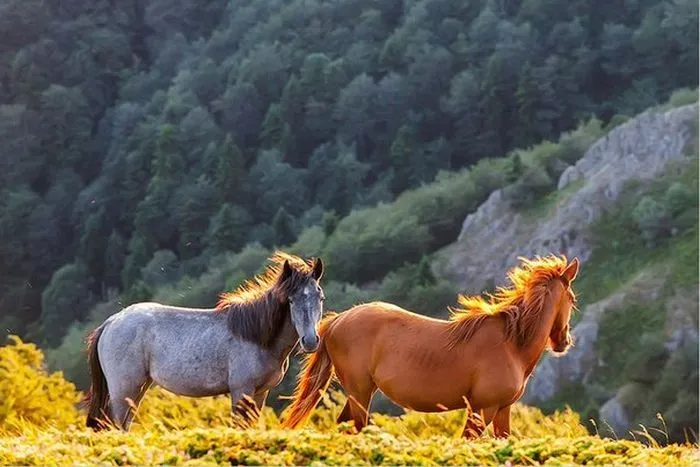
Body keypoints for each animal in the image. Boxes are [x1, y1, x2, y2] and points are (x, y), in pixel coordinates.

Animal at [83, 252, 324, 432]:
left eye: (320, 298)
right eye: (291, 300)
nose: (310, 341)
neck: (257, 337)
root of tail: (111, 322)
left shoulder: (260, 392)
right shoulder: (241, 391)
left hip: (137, 389)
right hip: (123, 390)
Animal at [278, 256, 580, 438]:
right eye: (573, 299)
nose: (563, 342)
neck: (511, 343)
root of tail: (337, 321)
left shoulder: (502, 410)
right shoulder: (483, 409)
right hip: (360, 393)